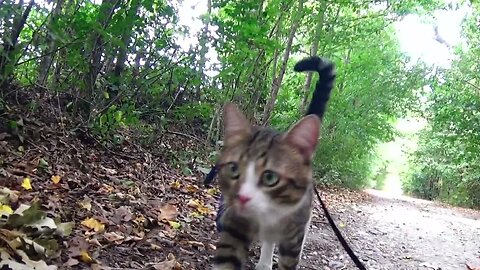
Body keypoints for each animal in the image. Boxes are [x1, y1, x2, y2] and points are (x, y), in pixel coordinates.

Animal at [212, 56, 336, 268]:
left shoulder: (294, 231)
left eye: (270, 177)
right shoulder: (235, 224)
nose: (241, 198)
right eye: (234, 169)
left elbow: (290, 258)